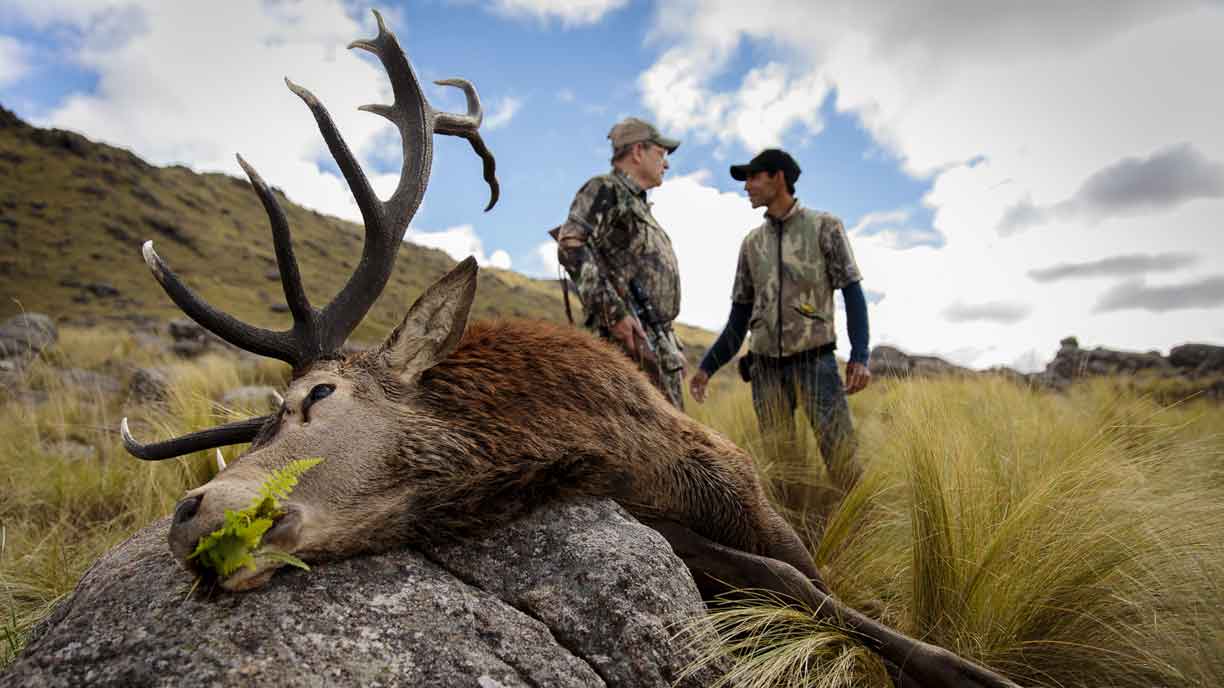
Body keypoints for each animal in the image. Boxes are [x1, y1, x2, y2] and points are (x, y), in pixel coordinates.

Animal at [117, 10, 1019, 688]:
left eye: (317, 396)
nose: (188, 514)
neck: (574, 436)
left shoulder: (747, 493)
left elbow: (820, 585)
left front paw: (974, 671)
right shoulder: (663, 524)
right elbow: (789, 588)